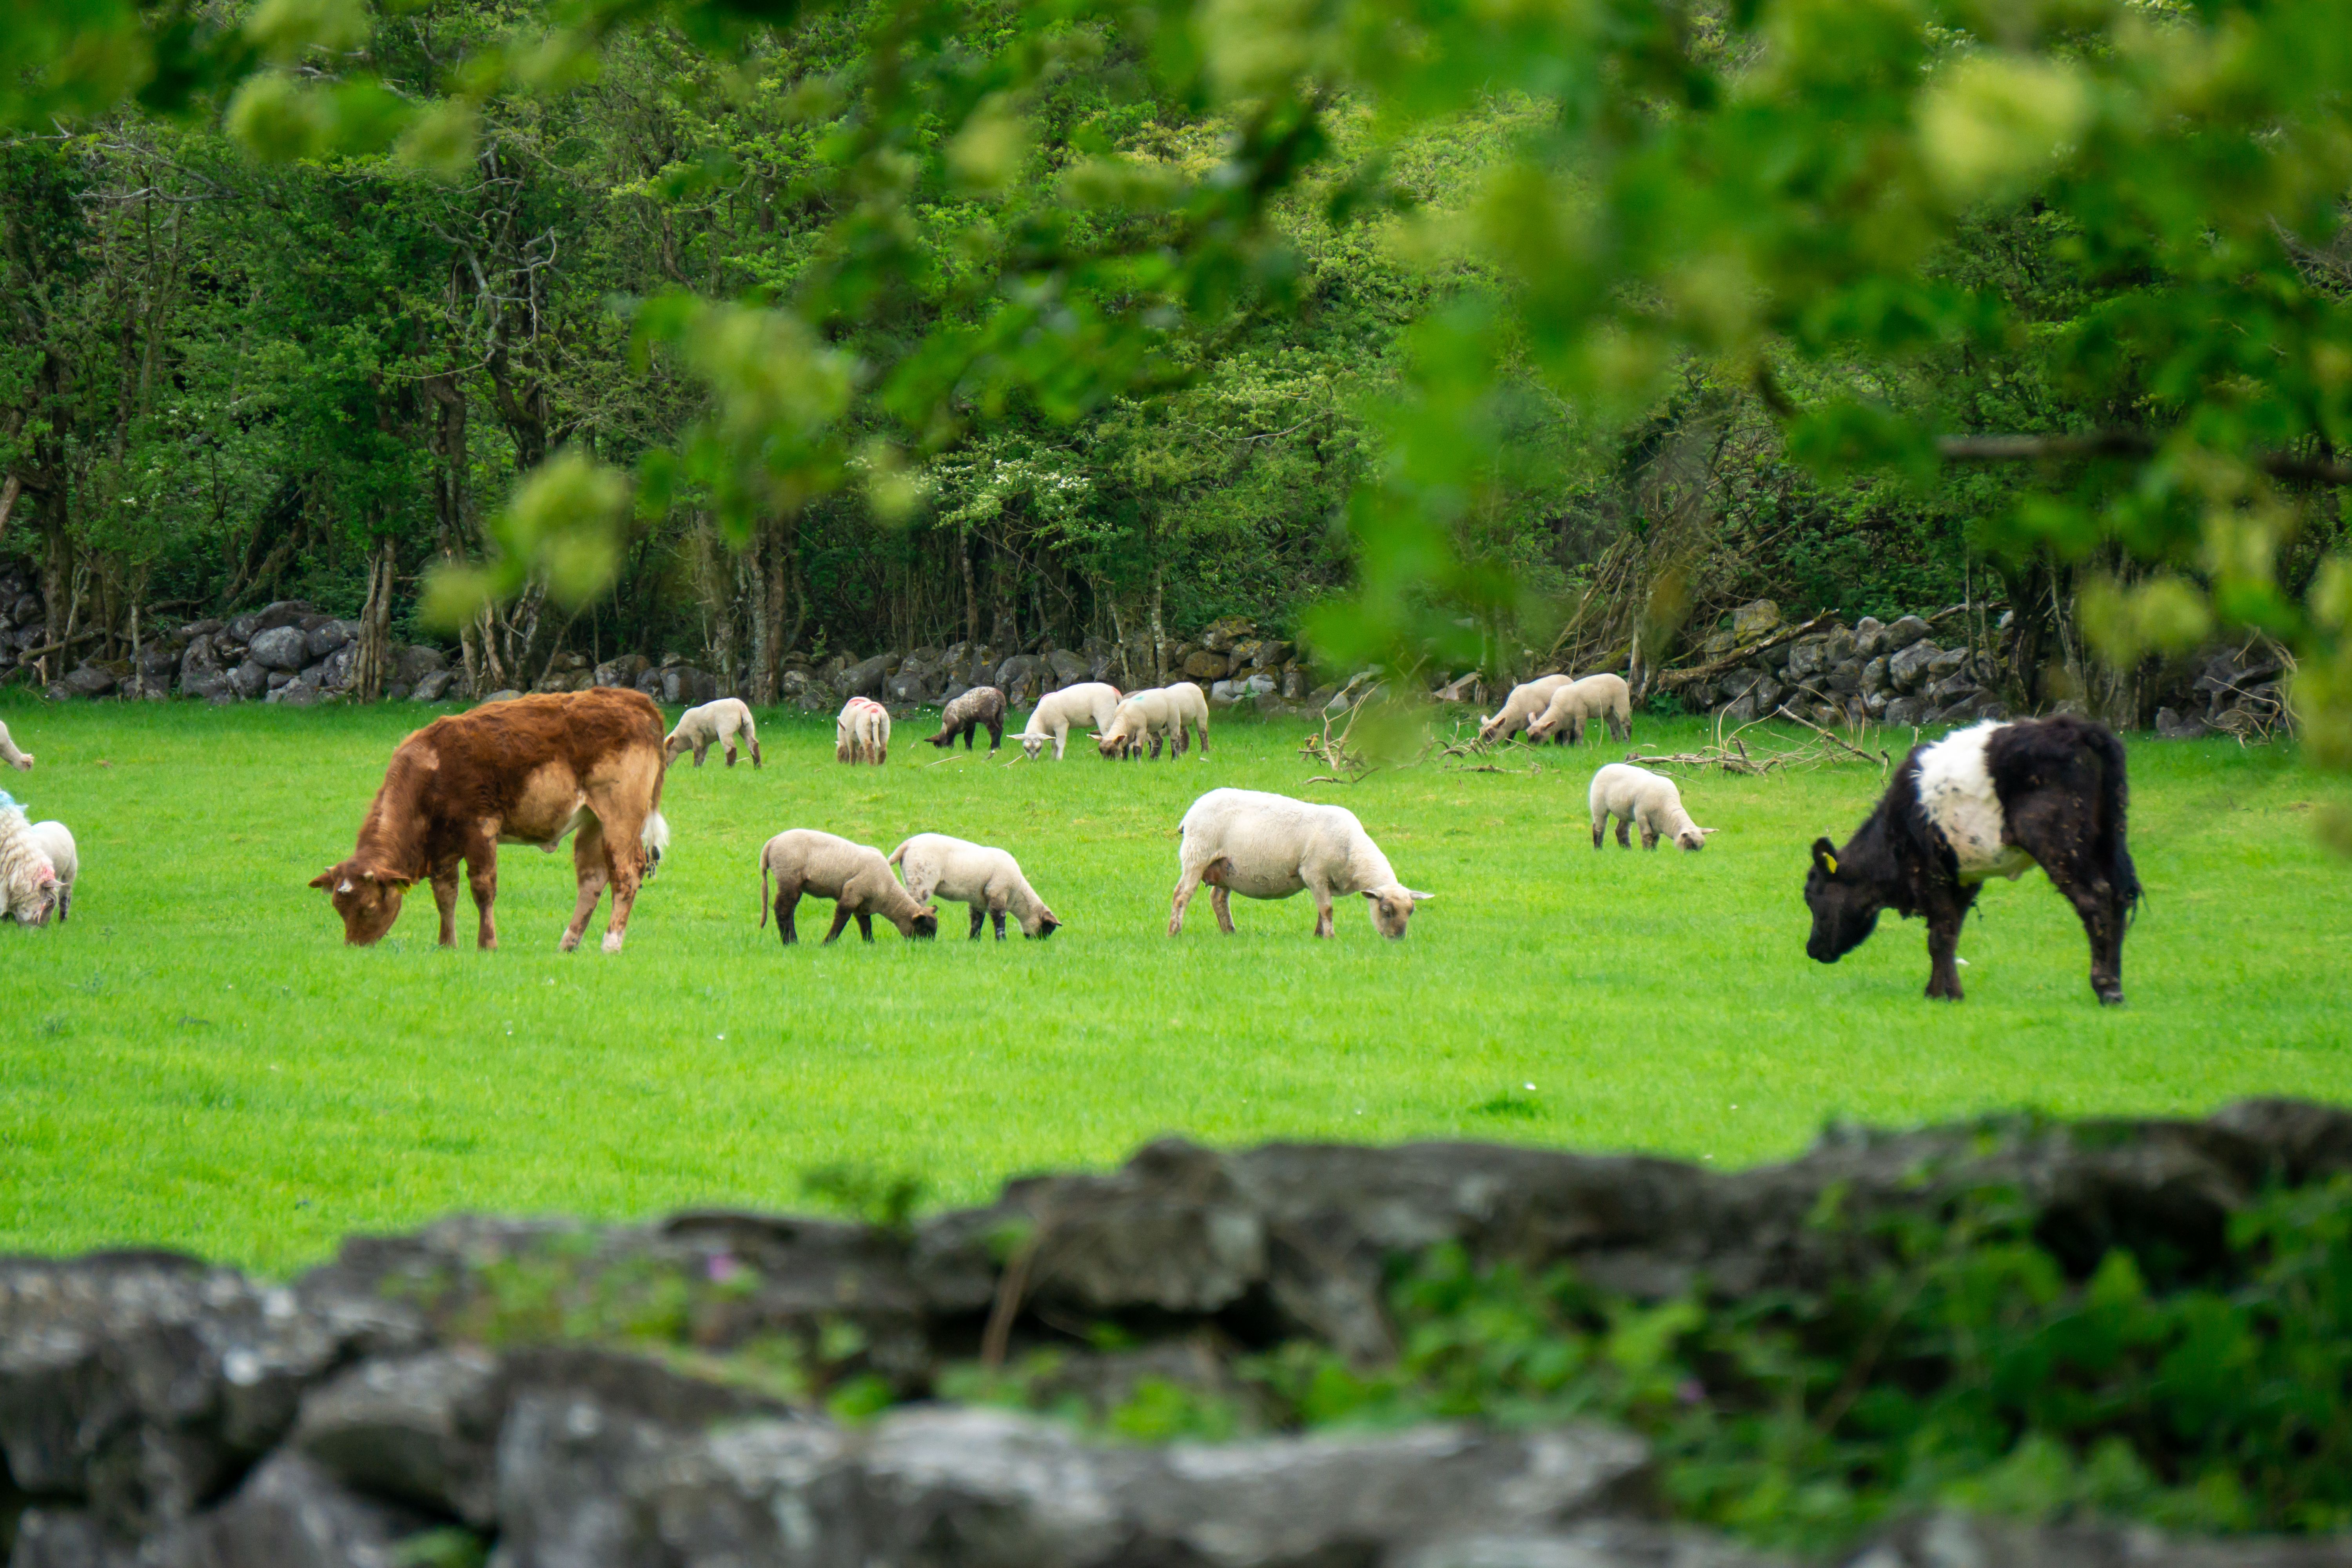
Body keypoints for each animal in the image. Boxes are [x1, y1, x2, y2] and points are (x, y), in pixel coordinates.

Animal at [311, 688, 671, 953]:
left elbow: (482, 888)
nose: (355, 947)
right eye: (338, 908)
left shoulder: (480, 829)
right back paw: (568, 944)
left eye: (370, 907)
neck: (432, 768)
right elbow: (446, 894)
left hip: (620, 817)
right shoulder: (443, 847)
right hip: (593, 822)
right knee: (592, 878)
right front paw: (447, 945)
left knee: (626, 873)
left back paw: (611, 944)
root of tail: (631, 699)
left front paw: (487, 944)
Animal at [1804, 715, 2140, 1004]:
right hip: (2109, 838)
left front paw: (1945, 995)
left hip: (2060, 844)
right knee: (2120, 898)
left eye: (1813, 898)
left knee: (2095, 899)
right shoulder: (1964, 878)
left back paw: (2106, 988)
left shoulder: (1930, 872)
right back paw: (2117, 987)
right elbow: (1951, 934)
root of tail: (2078, 728)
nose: (1811, 949)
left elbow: (1939, 936)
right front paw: (1941, 991)